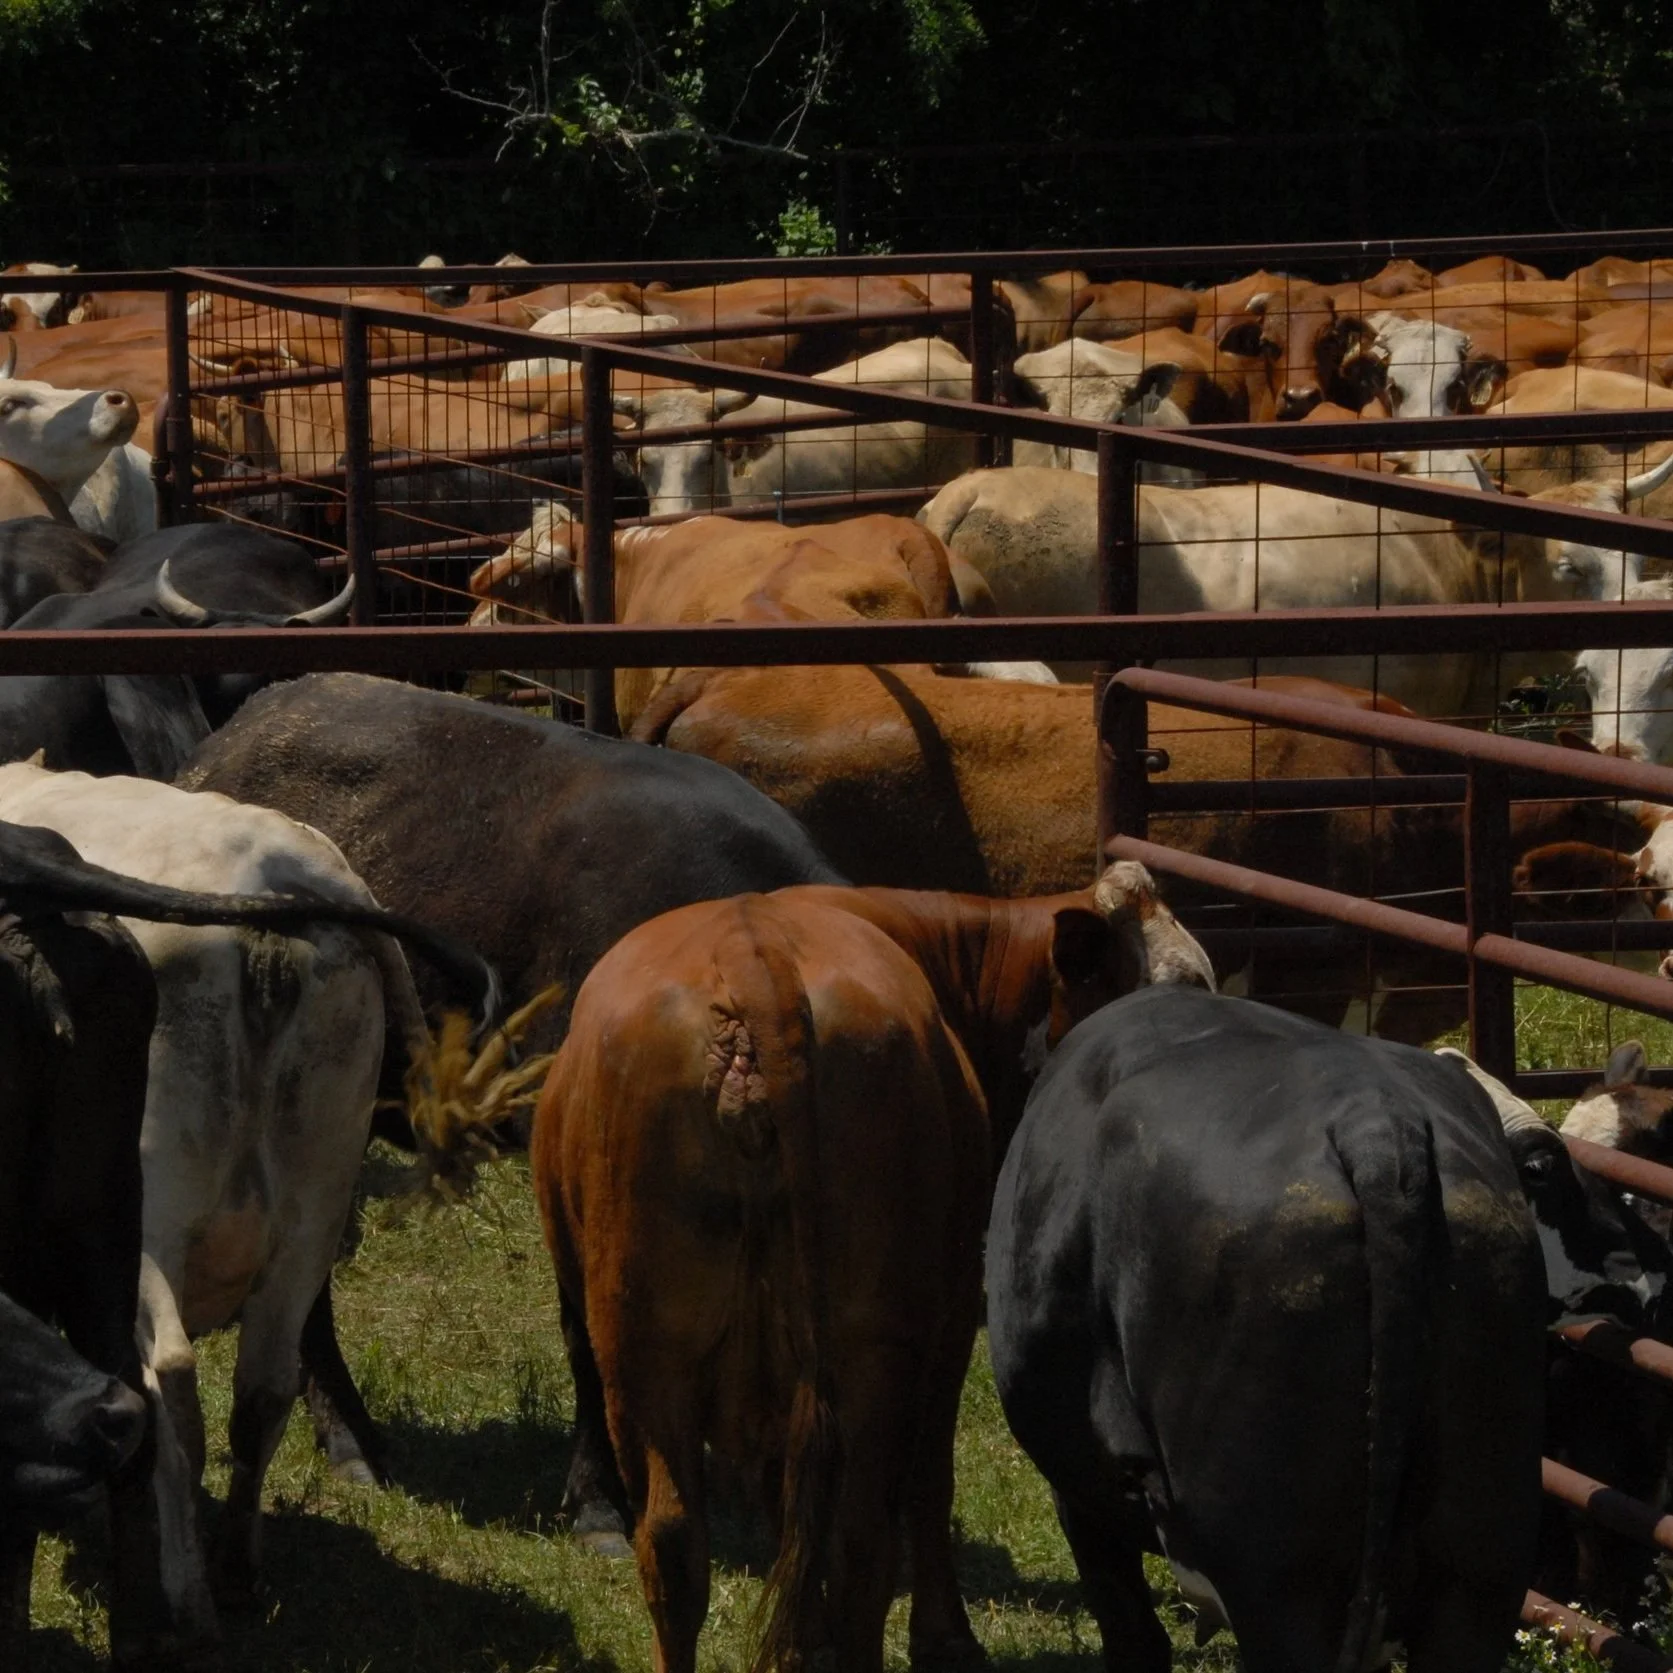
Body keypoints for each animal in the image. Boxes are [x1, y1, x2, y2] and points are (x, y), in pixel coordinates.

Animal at [0, 761, 501, 1658]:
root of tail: (285, 881)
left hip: (155, 1215)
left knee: (170, 1379)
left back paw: (185, 1600)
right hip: (313, 1202)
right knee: (262, 1388)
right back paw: (232, 1573)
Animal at [531, 861, 1212, 1667]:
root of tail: (753, 959)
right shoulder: (955, 1311)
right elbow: (928, 1480)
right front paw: (946, 1637)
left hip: (647, 1345)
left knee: (679, 1545)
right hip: (871, 1346)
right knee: (863, 1534)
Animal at [985, 985, 1660, 1672]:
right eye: (1544, 1163)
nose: (1644, 1254)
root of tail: (1376, 1127)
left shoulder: (1082, 1493)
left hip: (1281, 1579)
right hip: (1481, 1564)